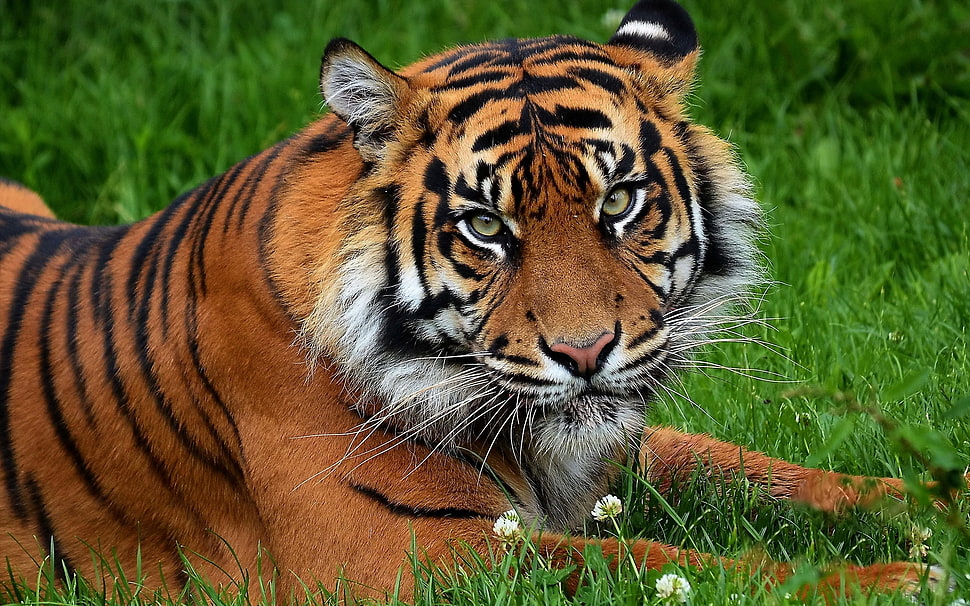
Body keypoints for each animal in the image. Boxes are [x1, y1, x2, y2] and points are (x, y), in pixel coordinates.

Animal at [0, 0, 956, 601]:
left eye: (620, 202)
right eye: (487, 227)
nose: (584, 353)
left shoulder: (609, 451)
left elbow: (768, 471)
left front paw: (943, 504)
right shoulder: (400, 551)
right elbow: (651, 563)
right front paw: (897, 582)